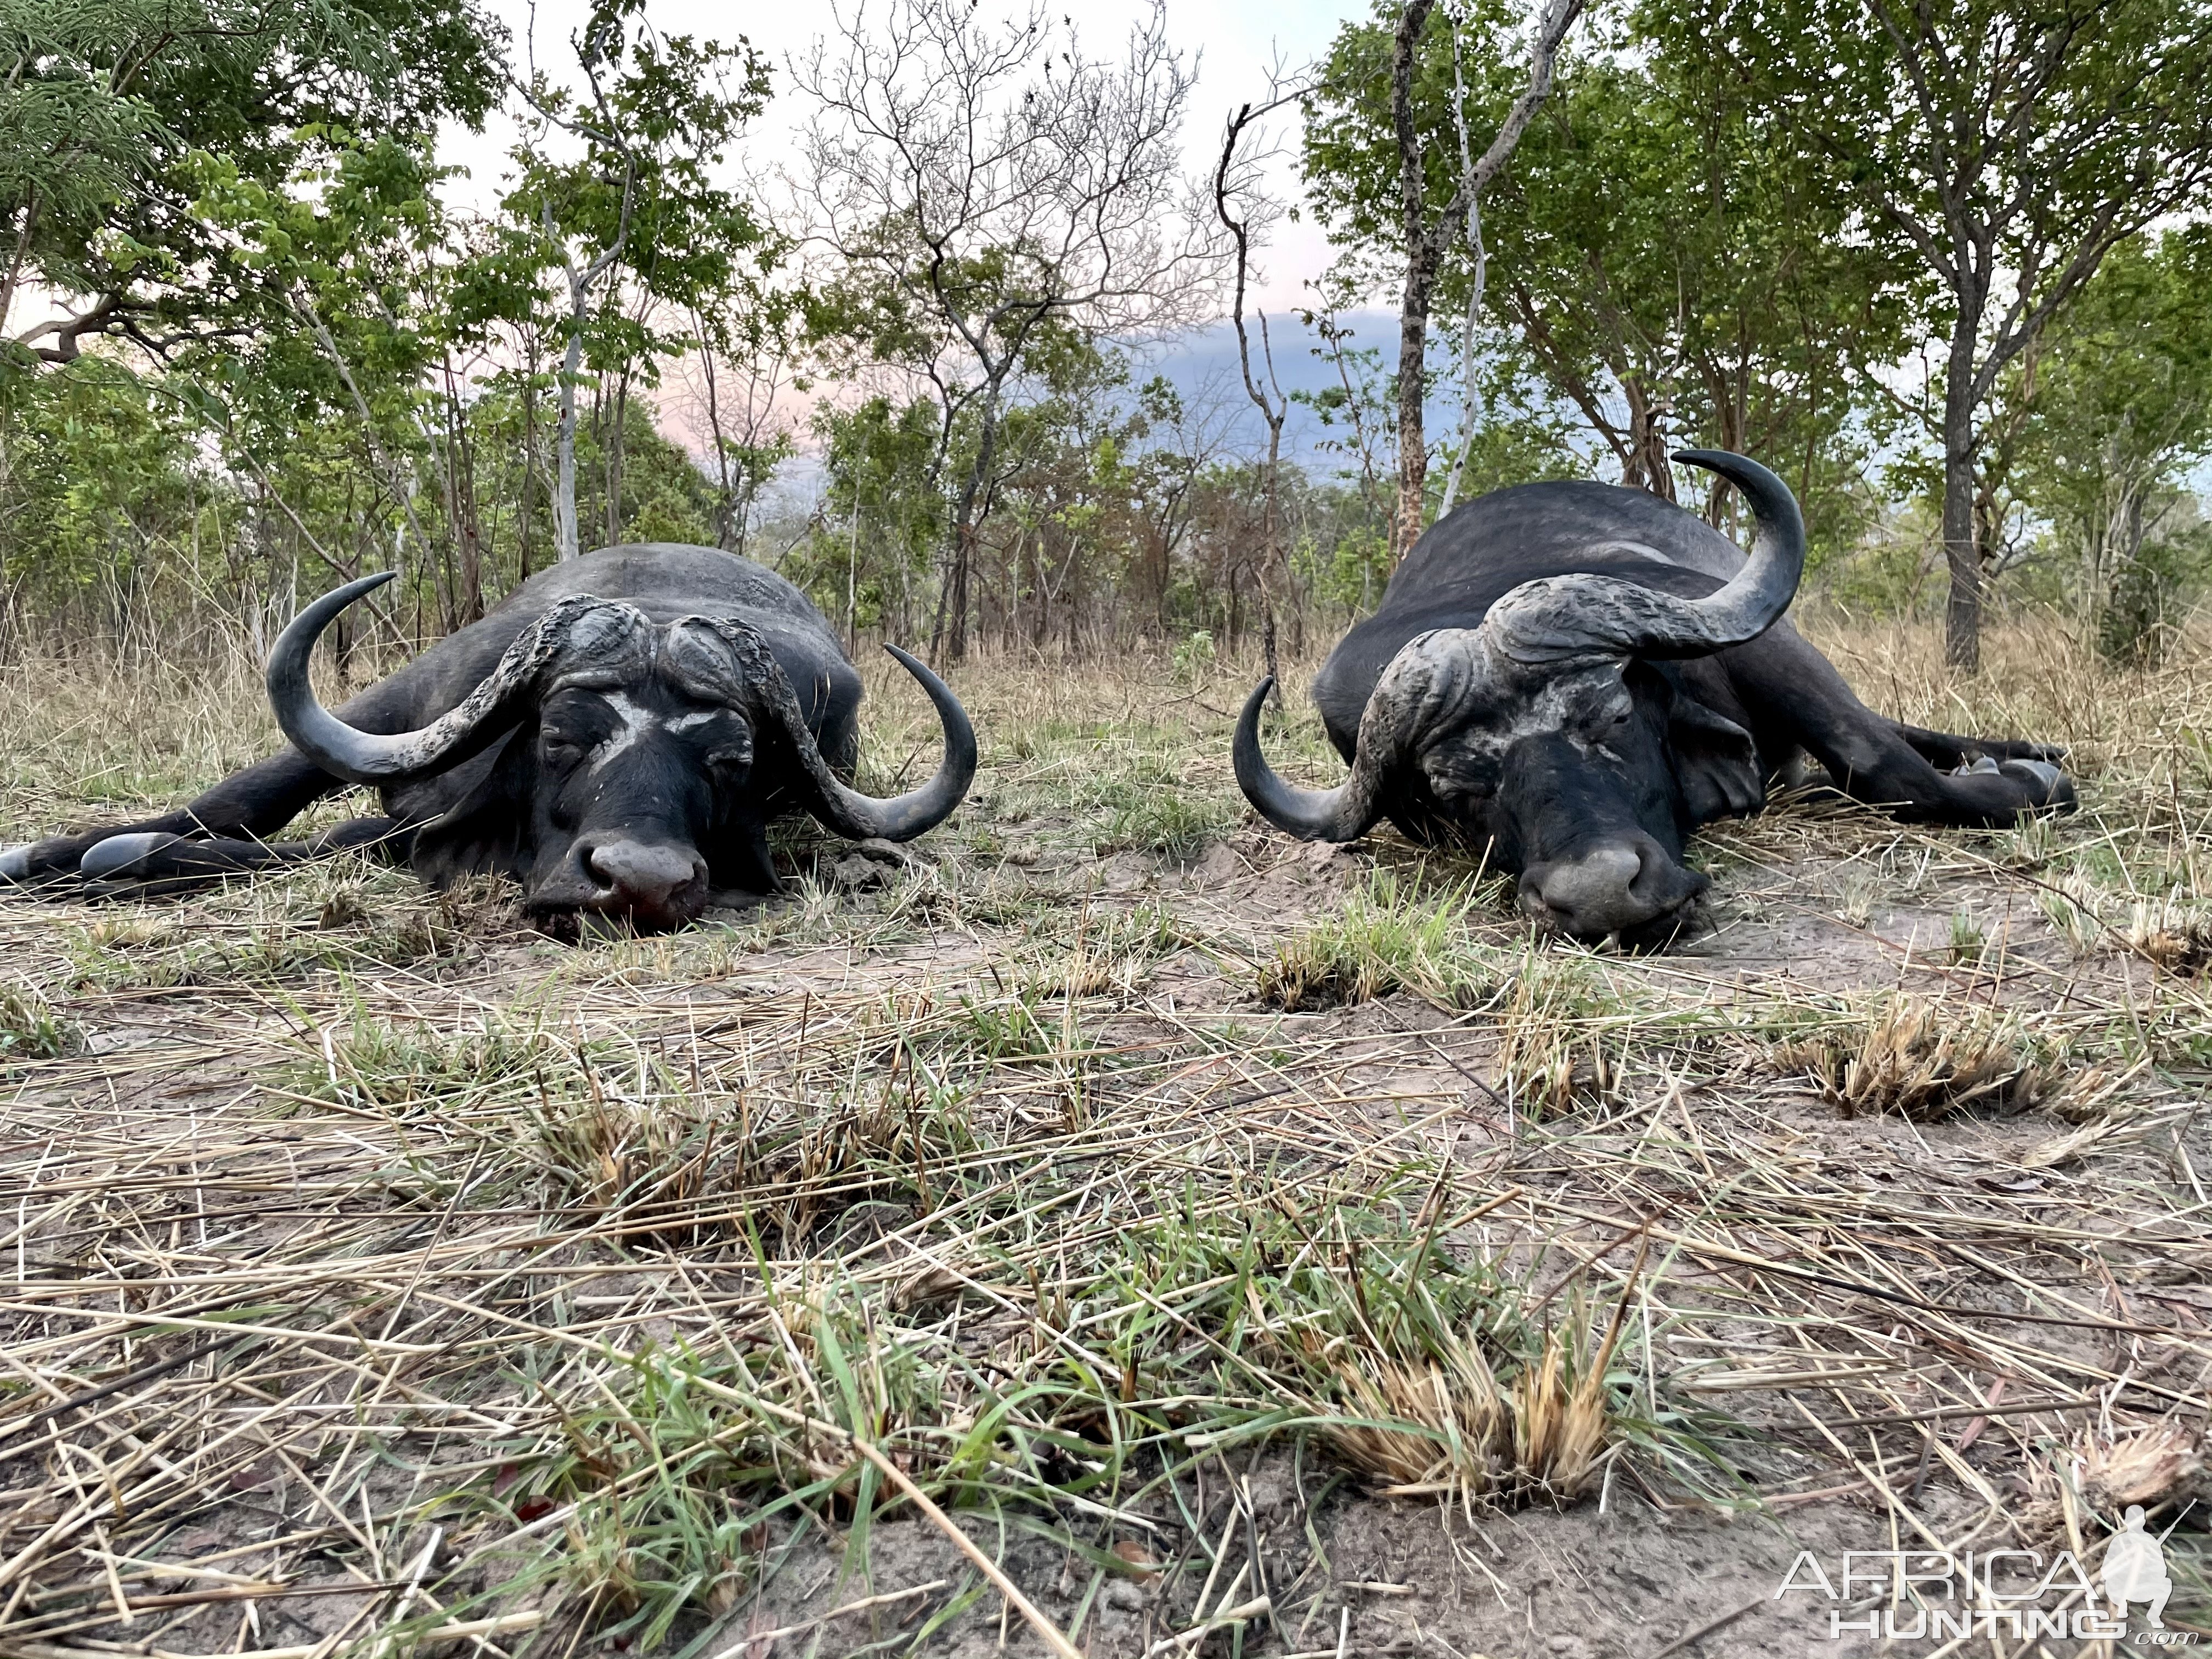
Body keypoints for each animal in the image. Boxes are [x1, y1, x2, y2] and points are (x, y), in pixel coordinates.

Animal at [0, 546, 978, 938]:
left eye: (733, 764)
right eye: (561, 736)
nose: (641, 885)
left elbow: (344, 842)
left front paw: (125, 860)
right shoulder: (393, 706)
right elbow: (250, 799)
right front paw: (56, 854)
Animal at [1238, 451, 2079, 946]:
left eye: (1613, 717)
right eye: (1458, 790)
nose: (1602, 896)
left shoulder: (1755, 639)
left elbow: (1880, 763)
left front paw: (2026, 782)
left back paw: (2026, 755)